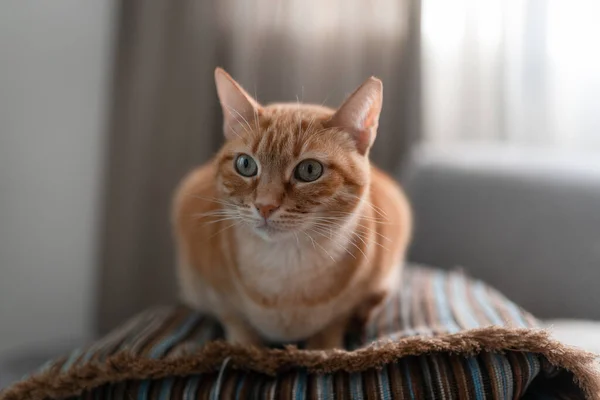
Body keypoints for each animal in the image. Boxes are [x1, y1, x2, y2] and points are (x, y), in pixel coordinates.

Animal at [171, 67, 410, 348]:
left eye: (309, 170)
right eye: (245, 164)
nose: (264, 206)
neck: (286, 267)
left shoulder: (346, 306)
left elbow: (331, 328)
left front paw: (324, 347)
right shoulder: (216, 295)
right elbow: (237, 325)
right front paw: (244, 347)